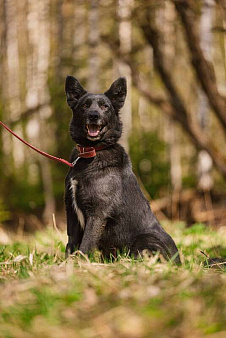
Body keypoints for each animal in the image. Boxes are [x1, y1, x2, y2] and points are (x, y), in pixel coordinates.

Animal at [65, 76, 180, 264]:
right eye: (85, 105)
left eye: (105, 106)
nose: (93, 116)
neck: (92, 152)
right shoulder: (72, 212)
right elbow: (71, 244)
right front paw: (66, 264)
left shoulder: (97, 213)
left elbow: (86, 244)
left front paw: (80, 264)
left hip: (145, 240)